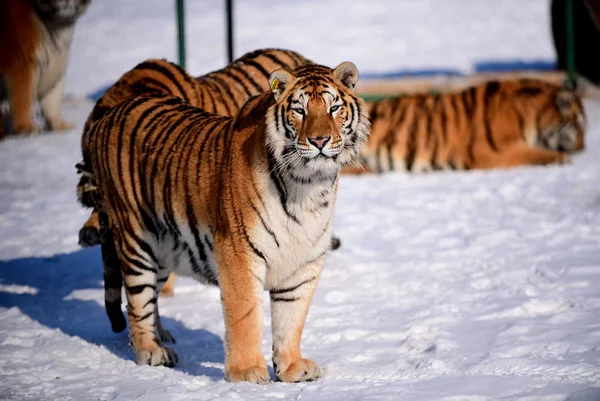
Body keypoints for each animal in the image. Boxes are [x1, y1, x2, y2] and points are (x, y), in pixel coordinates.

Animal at [0, 0, 90, 135]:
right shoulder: (23, 64)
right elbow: (23, 97)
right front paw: (25, 127)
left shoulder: (55, 67)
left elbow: (52, 99)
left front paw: (61, 126)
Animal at [83, 62, 370, 382]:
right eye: (300, 110)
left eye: (334, 108)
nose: (319, 141)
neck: (307, 185)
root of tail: (108, 116)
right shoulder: (238, 251)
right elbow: (245, 315)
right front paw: (246, 373)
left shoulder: (303, 261)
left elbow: (291, 318)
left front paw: (293, 367)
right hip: (136, 238)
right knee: (137, 301)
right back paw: (152, 351)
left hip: (164, 246)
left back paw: (163, 336)